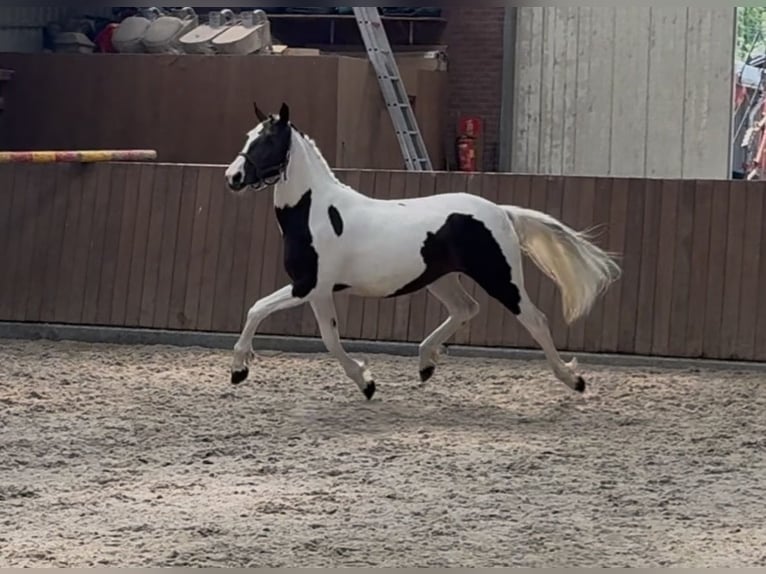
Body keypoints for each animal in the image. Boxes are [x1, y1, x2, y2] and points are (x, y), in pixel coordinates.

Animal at [223, 102, 621, 400]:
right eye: (248, 137)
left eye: (267, 141)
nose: (232, 178)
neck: (317, 212)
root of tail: (500, 211)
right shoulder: (319, 292)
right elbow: (330, 340)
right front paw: (366, 383)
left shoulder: (308, 285)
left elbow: (258, 309)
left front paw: (239, 370)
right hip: (441, 279)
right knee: (466, 309)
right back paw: (426, 363)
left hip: (500, 277)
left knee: (535, 320)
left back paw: (574, 380)